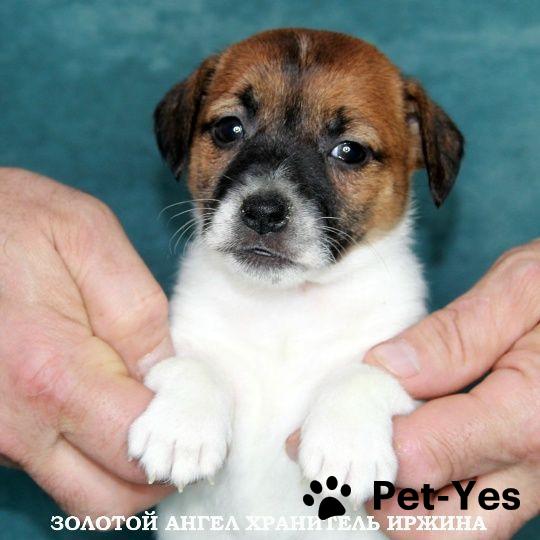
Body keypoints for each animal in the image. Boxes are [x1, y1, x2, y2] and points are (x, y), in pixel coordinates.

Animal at [128, 28, 464, 538]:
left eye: (350, 151)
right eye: (229, 129)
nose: (263, 212)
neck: (285, 307)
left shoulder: (412, 374)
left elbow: (367, 373)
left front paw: (347, 442)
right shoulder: (180, 343)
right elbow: (192, 365)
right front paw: (181, 427)